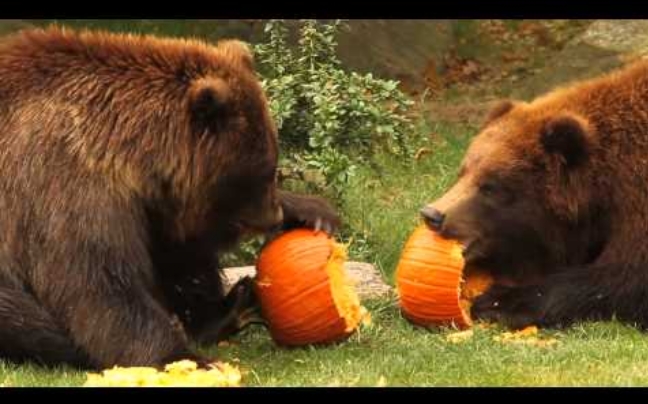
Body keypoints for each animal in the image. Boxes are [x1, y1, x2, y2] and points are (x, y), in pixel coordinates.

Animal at [0, 27, 340, 370]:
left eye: (272, 164)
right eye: (262, 171)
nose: (272, 217)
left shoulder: (154, 205)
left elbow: (181, 253)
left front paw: (314, 212)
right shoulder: (63, 180)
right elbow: (99, 282)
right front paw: (189, 358)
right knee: (21, 314)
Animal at [422, 60, 648, 332]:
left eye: (490, 186)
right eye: (463, 172)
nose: (433, 214)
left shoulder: (637, 198)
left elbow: (625, 274)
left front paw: (498, 301)